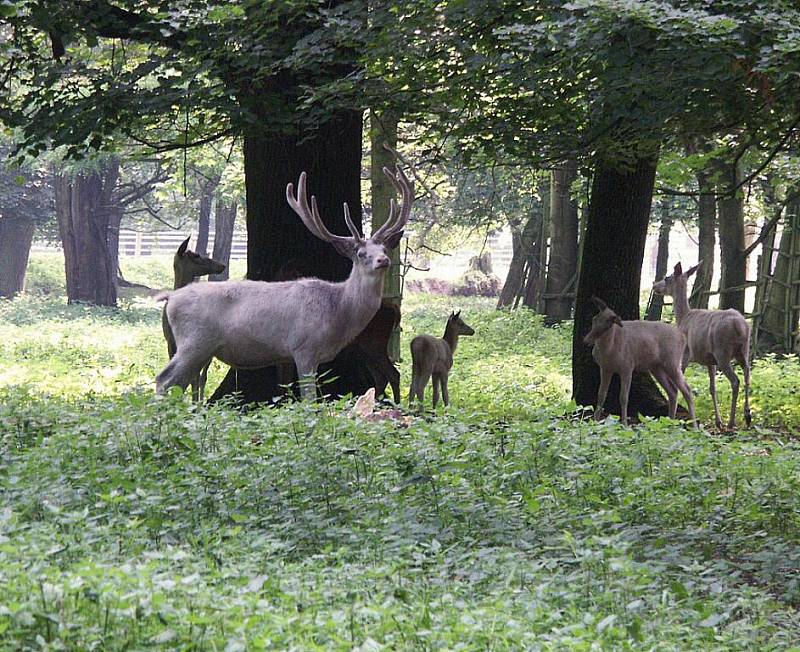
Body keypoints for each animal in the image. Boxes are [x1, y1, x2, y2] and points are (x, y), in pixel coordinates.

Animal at [584, 296, 696, 428]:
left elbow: (624, 397)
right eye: (594, 319)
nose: (586, 340)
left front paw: (624, 423)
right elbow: (601, 394)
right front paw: (595, 421)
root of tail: (683, 338)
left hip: (672, 361)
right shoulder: (605, 368)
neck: (609, 352)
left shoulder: (627, 366)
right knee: (673, 391)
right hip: (656, 368)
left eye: (607, 326)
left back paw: (694, 425)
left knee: (687, 389)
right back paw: (670, 422)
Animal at [652, 262, 752, 430]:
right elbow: (712, 388)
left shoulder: (685, 354)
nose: (654, 285)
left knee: (735, 381)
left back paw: (732, 422)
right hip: (743, 350)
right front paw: (718, 421)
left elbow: (679, 383)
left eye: (667, 278)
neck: (683, 317)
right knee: (747, 373)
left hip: (722, 352)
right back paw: (747, 416)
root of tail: (740, 326)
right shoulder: (710, 361)